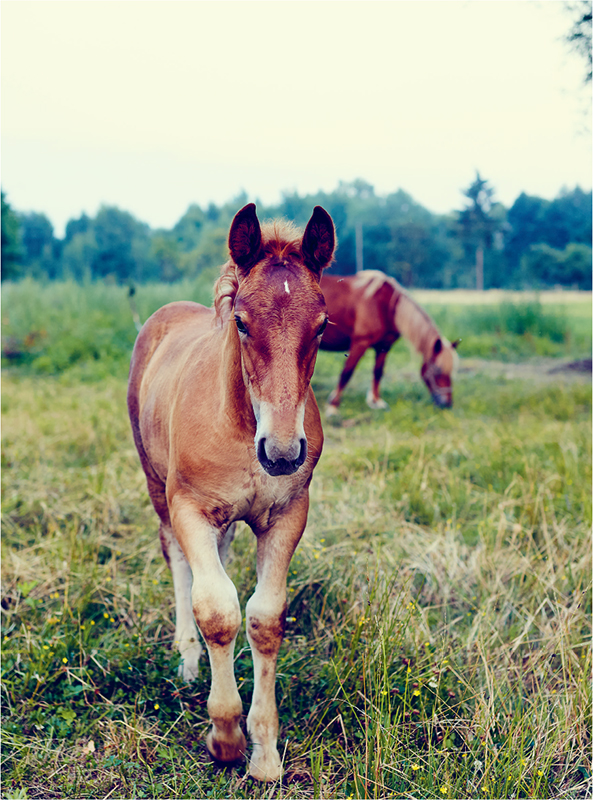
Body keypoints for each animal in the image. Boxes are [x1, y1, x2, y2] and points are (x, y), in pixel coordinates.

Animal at [127, 202, 336, 780]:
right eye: (242, 322)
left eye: (322, 325)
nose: (282, 453)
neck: (243, 425)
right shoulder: (190, 508)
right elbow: (217, 609)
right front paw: (224, 736)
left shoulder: (288, 514)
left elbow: (264, 617)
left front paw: (263, 751)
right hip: (157, 487)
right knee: (179, 562)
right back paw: (187, 656)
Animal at [320, 272, 458, 416]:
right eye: (437, 370)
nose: (447, 404)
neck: (384, 305)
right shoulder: (360, 343)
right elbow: (347, 373)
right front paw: (333, 406)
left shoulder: (384, 346)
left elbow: (378, 372)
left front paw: (376, 402)